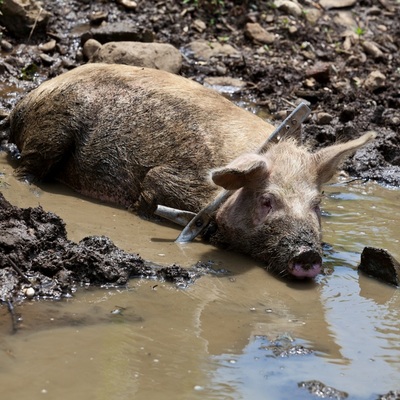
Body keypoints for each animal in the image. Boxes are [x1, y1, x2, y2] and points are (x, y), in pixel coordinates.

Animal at [0, 64, 376, 280]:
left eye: (317, 204)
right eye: (267, 200)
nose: (308, 254)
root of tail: (24, 101)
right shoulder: (161, 180)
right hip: (50, 132)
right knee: (27, 170)